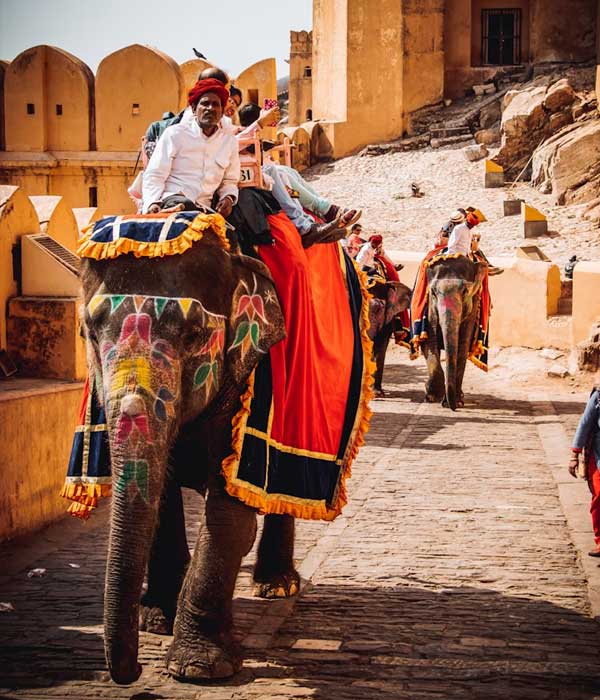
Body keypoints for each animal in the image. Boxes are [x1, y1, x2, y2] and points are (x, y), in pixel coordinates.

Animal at [79, 230, 303, 685]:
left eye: (194, 334)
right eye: (90, 334)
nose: (133, 671)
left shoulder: (251, 379)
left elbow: (228, 511)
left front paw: (198, 668)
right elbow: (160, 495)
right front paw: (154, 622)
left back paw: (276, 587)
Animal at [421, 256, 486, 410]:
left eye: (464, 292)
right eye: (433, 292)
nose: (452, 407)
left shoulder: (472, 307)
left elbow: (462, 346)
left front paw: (454, 402)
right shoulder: (430, 307)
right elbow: (430, 342)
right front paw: (432, 396)